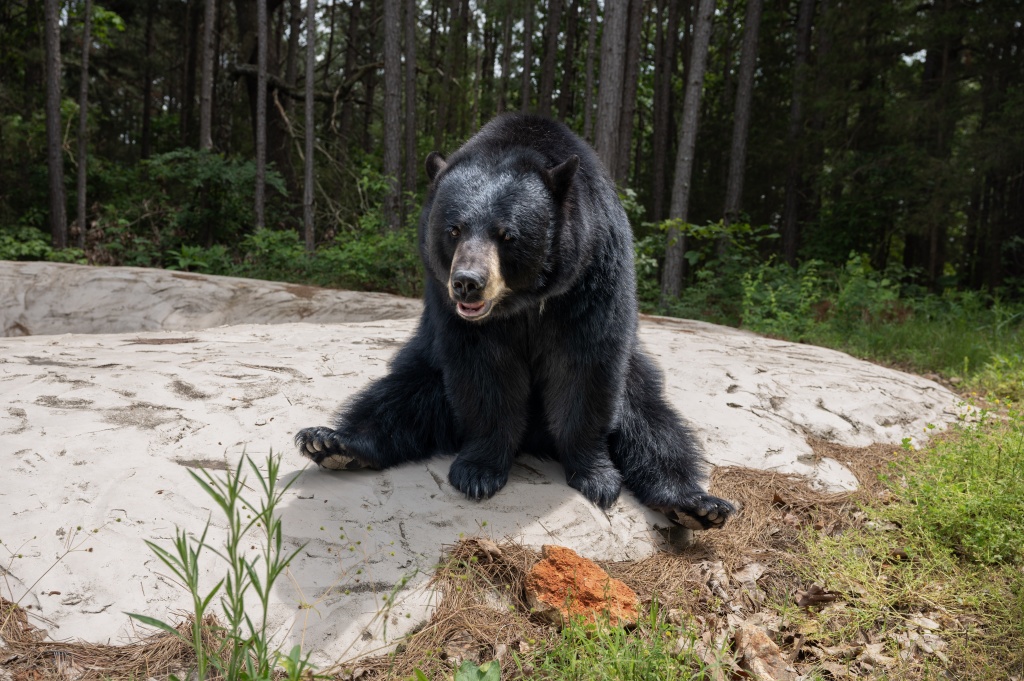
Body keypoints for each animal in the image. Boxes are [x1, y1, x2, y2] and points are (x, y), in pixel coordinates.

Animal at [296, 112, 737, 532]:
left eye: (506, 234)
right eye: (453, 229)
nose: (467, 284)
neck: (523, 302)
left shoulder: (591, 278)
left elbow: (586, 367)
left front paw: (597, 477)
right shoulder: (452, 310)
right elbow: (483, 373)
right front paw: (478, 472)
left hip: (638, 377)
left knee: (654, 425)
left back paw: (697, 505)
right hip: (426, 365)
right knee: (397, 397)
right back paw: (332, 443)